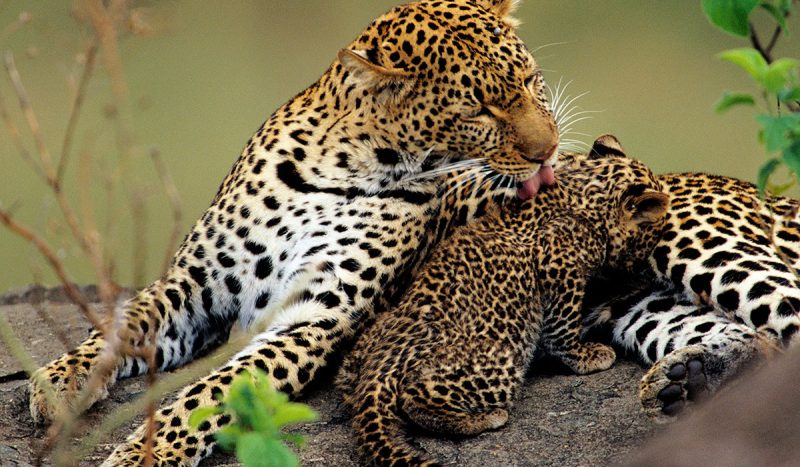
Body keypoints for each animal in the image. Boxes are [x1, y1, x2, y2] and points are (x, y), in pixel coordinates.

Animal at [26, 1, 562, 465]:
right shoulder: (197, 282)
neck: (341, 169)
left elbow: (209, 393)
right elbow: (123, 322)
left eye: (531, 80)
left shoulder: (314, 317)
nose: (549, 151)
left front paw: (144, 454)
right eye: (479, 111)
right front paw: (59, 381)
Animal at [337, 135, 670, 466]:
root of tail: (381, 367)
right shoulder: (558, 263)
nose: (640, 269)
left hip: (361, 353)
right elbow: (563, 324)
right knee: (417, 399)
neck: (587, 185)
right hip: (497, 360)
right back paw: (485, 418)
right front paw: (585, 356)